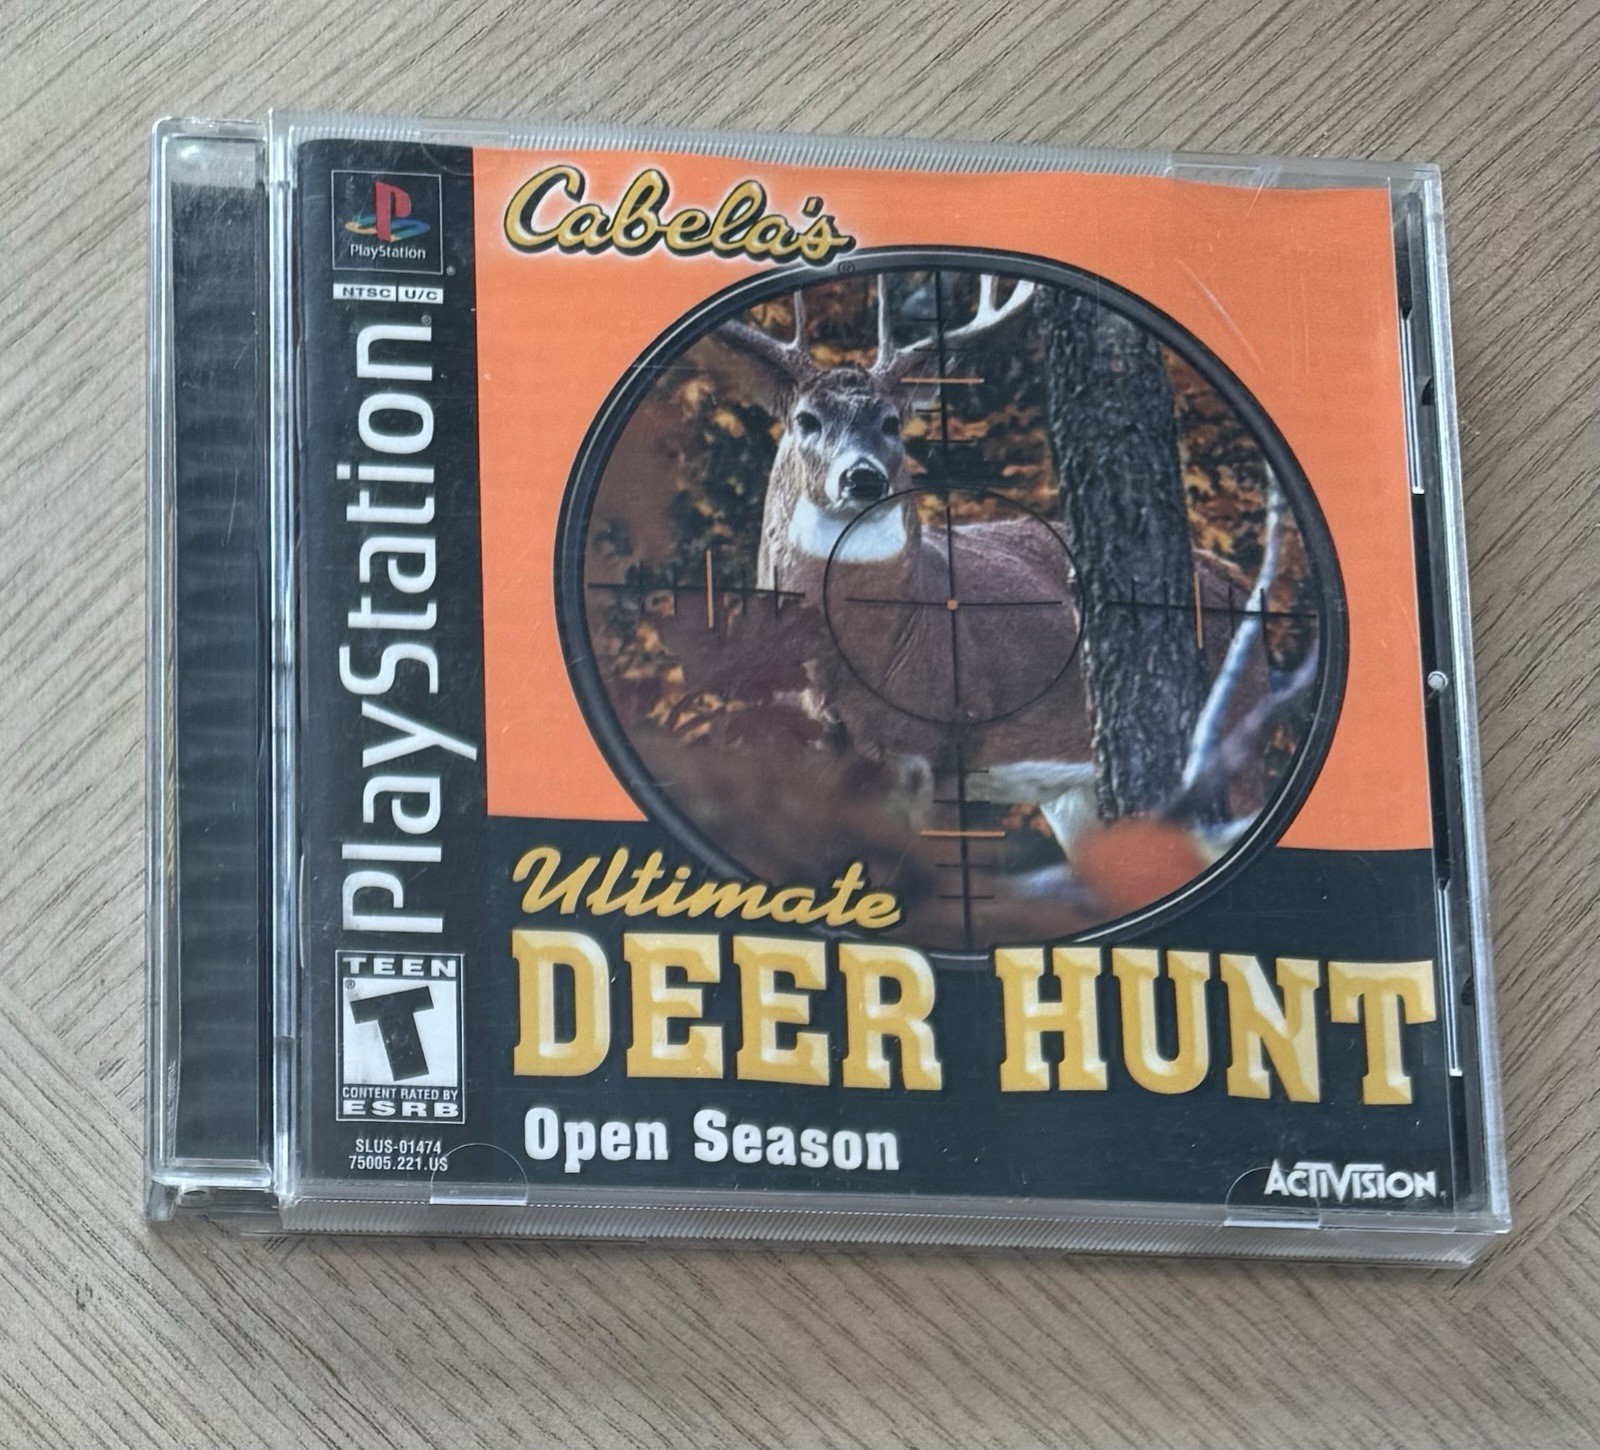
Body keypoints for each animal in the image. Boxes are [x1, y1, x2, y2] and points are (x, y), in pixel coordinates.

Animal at [712, 275, 1317, 889]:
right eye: (806, 419)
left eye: (892, 422)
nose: (862, 477)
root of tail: (1233, 576)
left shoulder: (944, 747)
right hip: (1076, 792)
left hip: (1235, 728)